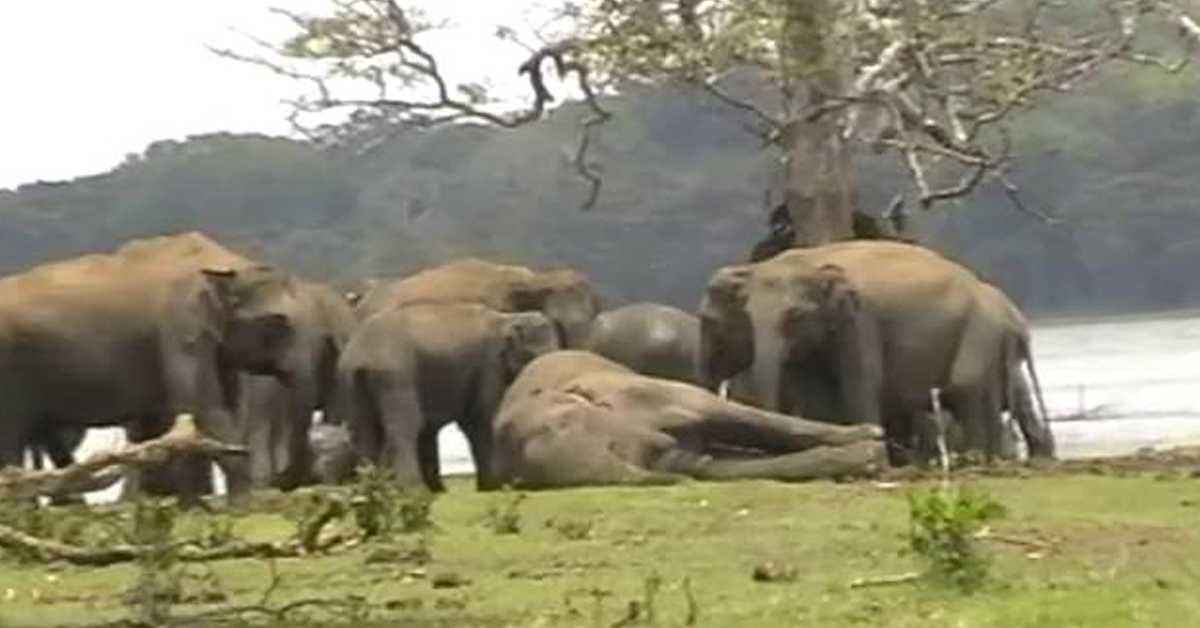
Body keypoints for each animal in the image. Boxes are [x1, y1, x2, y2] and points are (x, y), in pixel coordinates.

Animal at [0, 234, 300, 506]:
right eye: (277, 321)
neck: (225, 263)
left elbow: (211, 411)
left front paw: (191, 508)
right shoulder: (180, 327)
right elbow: (202, 407)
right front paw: (239, 508)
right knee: (12, 438)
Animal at [482, 348, 888, 492]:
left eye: (574, 416)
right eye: (616, 449)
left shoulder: (643, 394)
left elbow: (731, 414)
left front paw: (870, 436)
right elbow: (713, 465)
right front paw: (868, 456)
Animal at [700, 243, 1056, 463]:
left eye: (795, 316)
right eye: (746, 317)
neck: (809, 260)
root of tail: (1015, 315)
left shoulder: (860, 322)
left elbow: (860, 383)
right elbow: (814, 391)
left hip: (982, 330)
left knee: (967, 386)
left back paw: (978, 460)